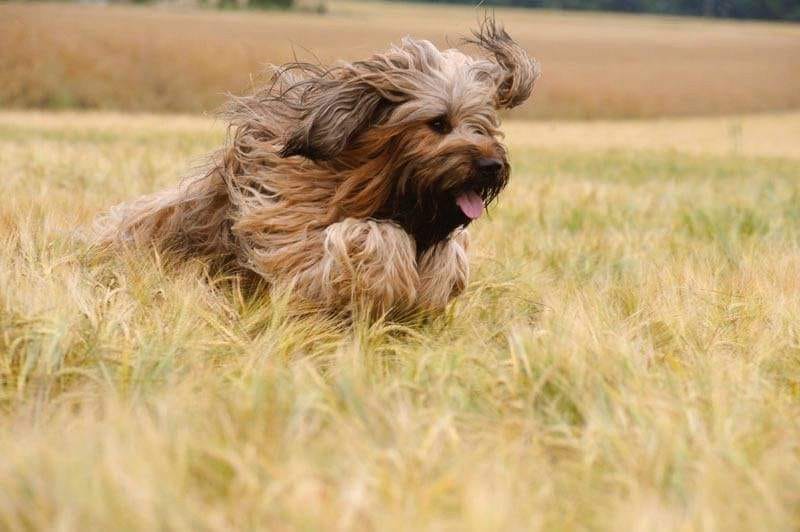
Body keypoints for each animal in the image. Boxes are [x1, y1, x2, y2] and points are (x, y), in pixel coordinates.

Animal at [97, 21, 540, 316]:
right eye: (438, 123)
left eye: (482, 125)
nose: (491, 165)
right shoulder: (288, 231)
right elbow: (372, 236)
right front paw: (393, 284)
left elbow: (448, 251)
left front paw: (428, 288)